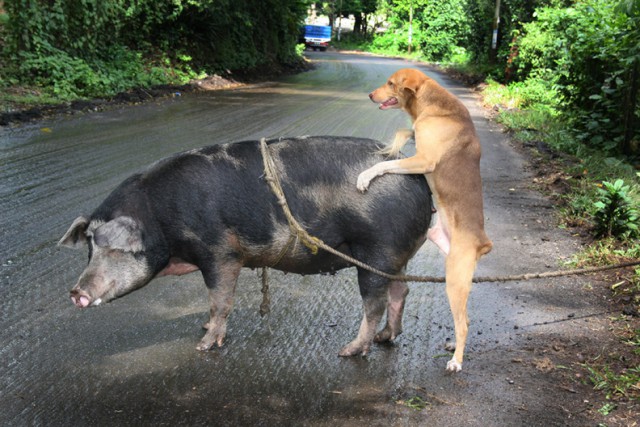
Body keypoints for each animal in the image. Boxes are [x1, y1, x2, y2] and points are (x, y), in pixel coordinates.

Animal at [60, 136, 432, 354]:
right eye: (90, 247)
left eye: (115, 249)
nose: (76, 292)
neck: (160, 221)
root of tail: (421, 183)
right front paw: (203, 328)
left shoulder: (221, 252)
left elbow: (220, 300)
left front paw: (204, 344)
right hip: (394, 256)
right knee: (401, 291)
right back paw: (386, 338)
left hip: (378, 249)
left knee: (374, 302)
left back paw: (349, 350)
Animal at [358, 68, 492, 372]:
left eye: (391, 84)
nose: (370, 95)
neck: (432, 107)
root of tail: (482, 242)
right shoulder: (418, 147)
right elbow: (406, 132)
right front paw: (398, 139)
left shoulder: (424, 160)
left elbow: (385, 164)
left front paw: (365, 176)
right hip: (447, 256)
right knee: (464, 318)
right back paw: (454, 345)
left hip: (455, 279)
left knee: (463, 323)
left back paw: (456, 361)